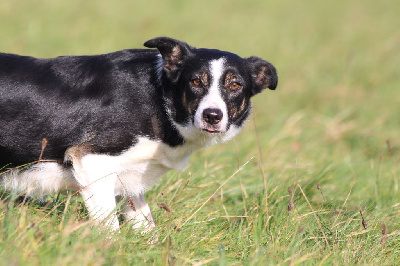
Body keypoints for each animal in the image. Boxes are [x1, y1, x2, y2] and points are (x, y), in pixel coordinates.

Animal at [0, 37, 278, 231]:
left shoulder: (130, 182)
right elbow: (109, 229)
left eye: (235, 85)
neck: (159, 99)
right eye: (196, 82)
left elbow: (147, 228)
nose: (212, 115)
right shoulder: (91, 163)